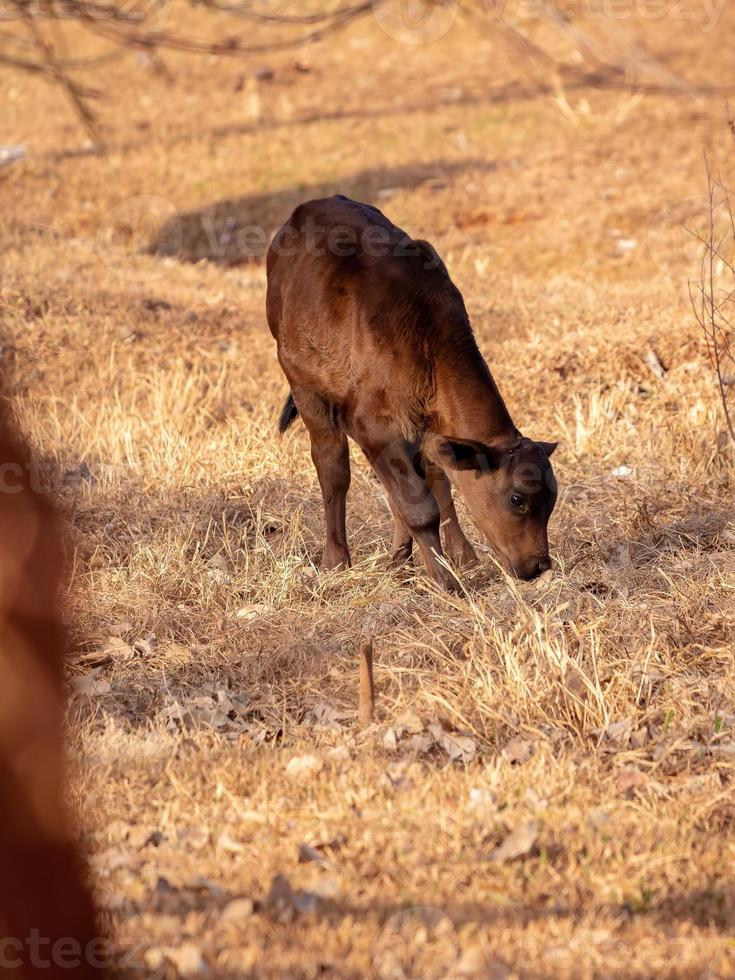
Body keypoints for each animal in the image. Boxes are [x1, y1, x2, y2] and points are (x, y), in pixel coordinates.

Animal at [268, 195, 560, 584]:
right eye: (517, 499)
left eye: (552, 501)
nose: (539, 565)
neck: (427, 338)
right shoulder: (371, 423)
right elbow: (418, 505)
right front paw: (445, 581)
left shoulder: (429, 428)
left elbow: (436, 484)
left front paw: (458, 558)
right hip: (304, 385)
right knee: (332, 467)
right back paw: (336, 560)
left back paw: (405, 557)